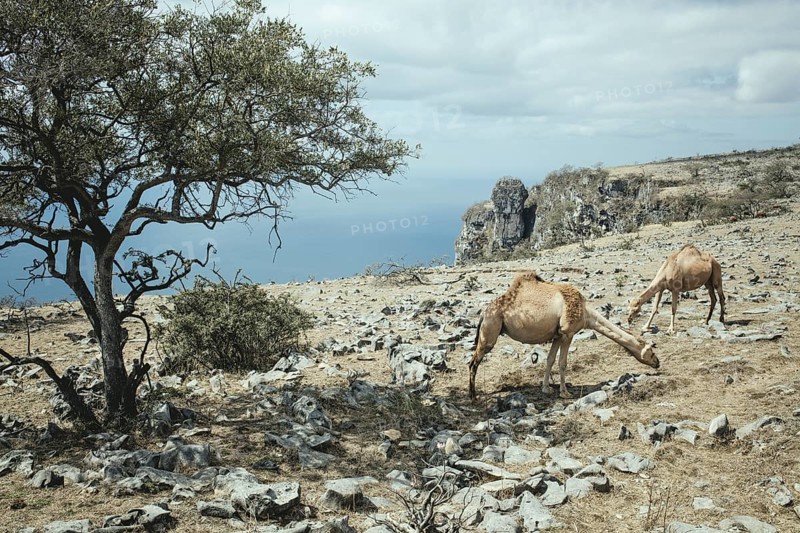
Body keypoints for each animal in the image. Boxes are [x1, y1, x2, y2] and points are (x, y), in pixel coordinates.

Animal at [468, 272, 659, 399]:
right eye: (651, 351)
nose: (658, 363)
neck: (586, 314)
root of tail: (483, 314)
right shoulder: (568, 332)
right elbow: (562, 363)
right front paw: (565, 392)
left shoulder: (557, 335)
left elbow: (550, 359)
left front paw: (546, 389)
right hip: (490, 330)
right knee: (473, 362)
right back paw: (473, 396)